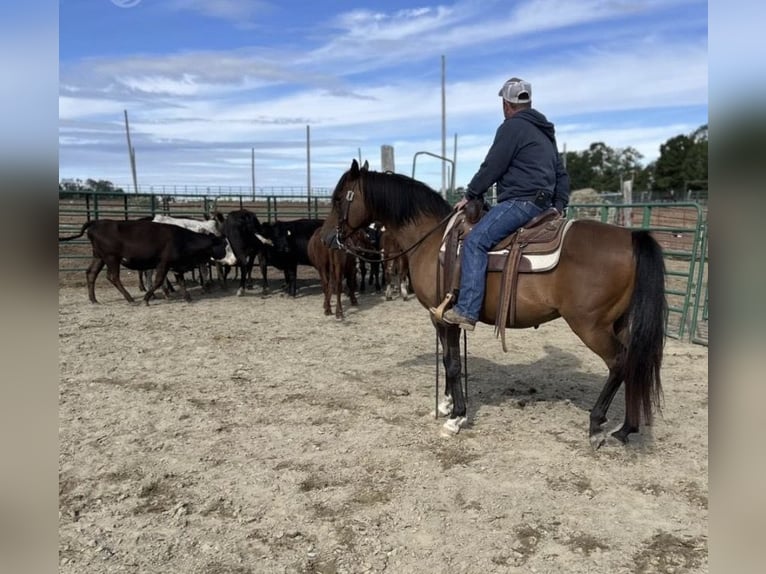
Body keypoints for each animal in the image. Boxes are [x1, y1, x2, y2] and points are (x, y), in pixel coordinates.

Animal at [324, 159, 667, 446]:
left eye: (339, 198)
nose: (328, 239)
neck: (432, 240)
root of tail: (631, 238)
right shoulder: (440, 317)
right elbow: (448, 360)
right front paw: (446, 404)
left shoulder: (445, 317)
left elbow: (452, 364)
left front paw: (456, 417)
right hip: (617, 322)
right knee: (634, 361)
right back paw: (626, 428)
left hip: (590, 325)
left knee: (619, 362)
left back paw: (597, 425)